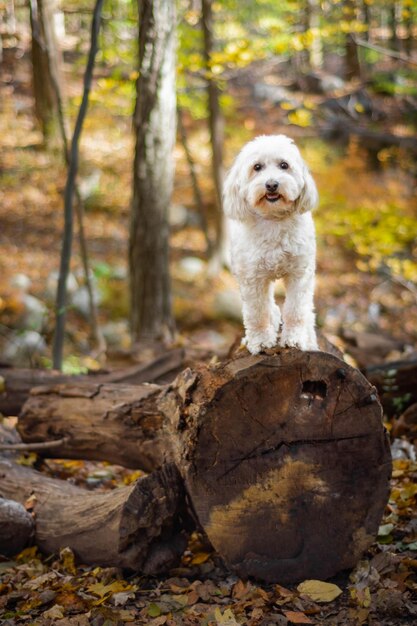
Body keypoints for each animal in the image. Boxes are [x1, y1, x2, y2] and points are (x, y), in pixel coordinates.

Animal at [223, 133, 316, 354]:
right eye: (257, 167)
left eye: (284, 165)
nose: (272, 184)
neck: (273, 219)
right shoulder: (252, 277)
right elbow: (257, 312)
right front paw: (261, 340)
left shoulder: (300, 274)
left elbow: (295, 309)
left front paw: (294, 338)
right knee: (269, 307)